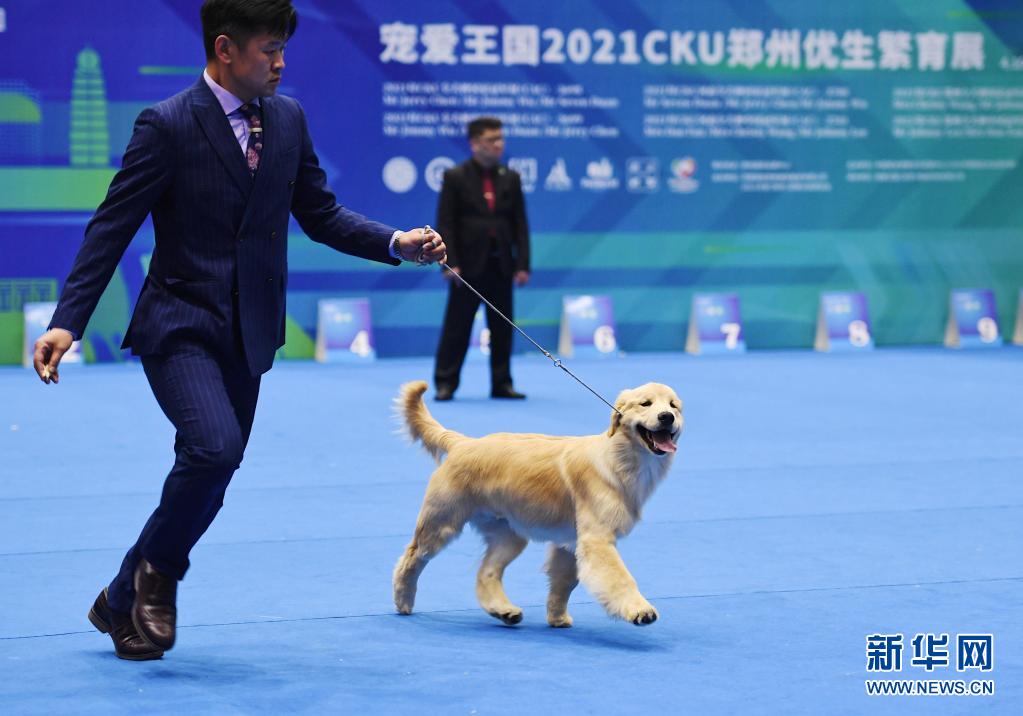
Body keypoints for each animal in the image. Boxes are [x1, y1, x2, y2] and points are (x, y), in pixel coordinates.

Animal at [394, 380, 683, 625]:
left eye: (673, 406)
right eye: (645, 404)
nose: (666, 417)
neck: (620, 460)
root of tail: (463, 443)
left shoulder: (570, 543)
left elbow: (563, 583)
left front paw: (557, 618)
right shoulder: (597, 539)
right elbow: (620, 578)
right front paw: (640, 609)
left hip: (508, 534)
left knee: (487, 573)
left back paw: (504, 610)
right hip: (441, 522)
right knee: (412, 557)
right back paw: (403, 600)